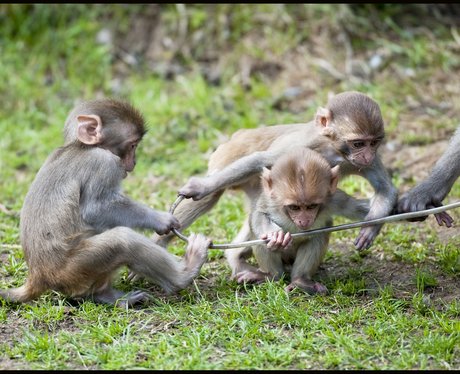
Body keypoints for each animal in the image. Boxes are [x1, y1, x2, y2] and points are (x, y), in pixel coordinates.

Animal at [0, 98, 211, 308]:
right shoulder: (104, 163)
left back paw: (105, 295)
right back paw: (185, 273)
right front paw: (161, 220)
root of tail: (38, 276)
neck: (84, 147)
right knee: (123, 240)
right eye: (133, 145)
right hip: (76, 267)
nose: (134, 162)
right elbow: (95, 209)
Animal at [154, 92, 396, 253]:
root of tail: (240, 135)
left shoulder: (361, 162)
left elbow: (386, 189)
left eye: (374, 143)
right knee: (214, 193)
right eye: (358, 144)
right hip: (227, 155)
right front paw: (200, 187)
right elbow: (260, 160)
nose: (367, 156)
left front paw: (370, 228)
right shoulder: (306, 145)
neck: (335, 151)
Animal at [225, 148, 368, 294]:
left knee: (319, 233)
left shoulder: (334, 199)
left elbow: (359, 208)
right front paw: (275, 235)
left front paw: (370, 227)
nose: (303, 221)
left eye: (311, 206)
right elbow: (258, 213)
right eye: (294, 207)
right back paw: (270, 275)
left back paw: (300, 280)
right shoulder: (271, 201)